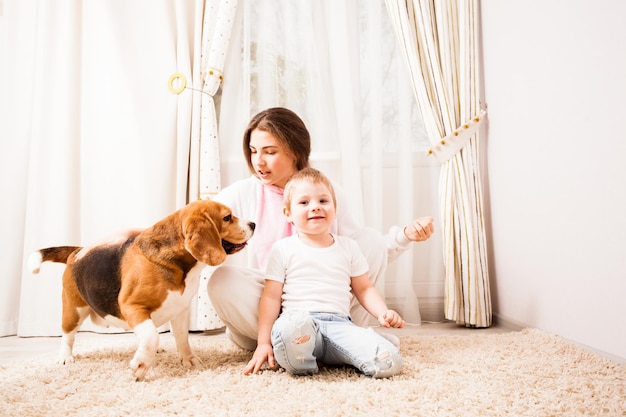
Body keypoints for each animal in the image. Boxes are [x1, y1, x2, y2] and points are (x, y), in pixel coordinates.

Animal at [29, 199, 254, 380]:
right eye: (227, 217)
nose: (253, 224)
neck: (179, 266)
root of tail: (77, 252)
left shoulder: (180, 310)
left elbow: (182, 338)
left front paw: (188, 360)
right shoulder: (132, 305)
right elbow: (152, 336)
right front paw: (141, 365)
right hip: (74, 309)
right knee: (68, 335)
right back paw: (65, 357)